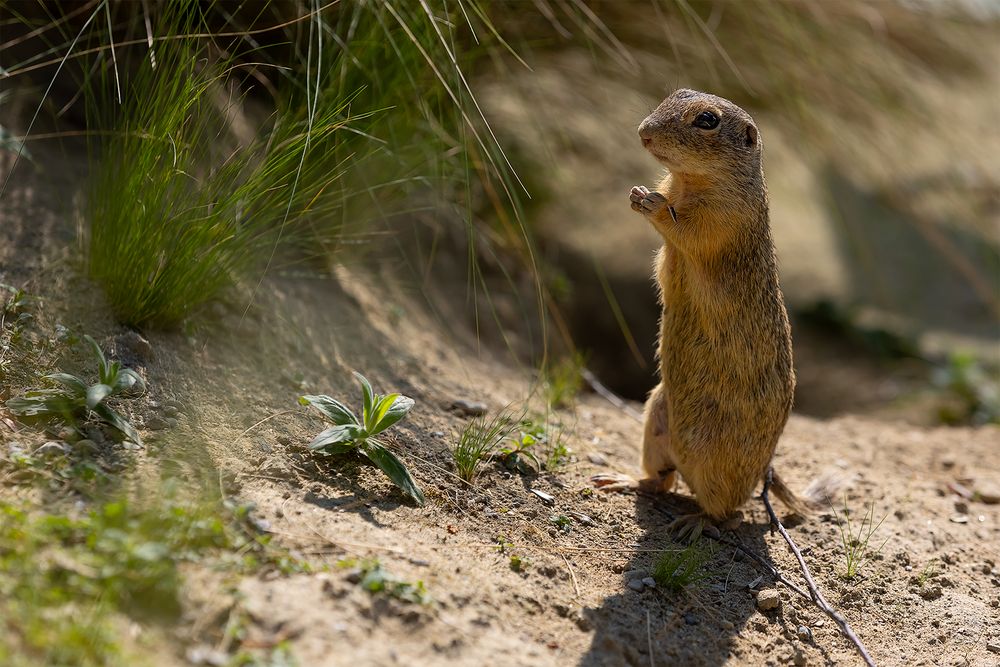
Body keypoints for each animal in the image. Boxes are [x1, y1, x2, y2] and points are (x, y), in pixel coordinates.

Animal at [592, 88, 820, 536]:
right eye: (675, 93)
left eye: (707, 121)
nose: (643, 132)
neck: (687, 182)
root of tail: (764, 470)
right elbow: (664, 267)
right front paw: (638, 193)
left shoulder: (721, 220)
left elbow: (686, 231)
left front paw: (650, 201)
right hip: (655, 419)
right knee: (661, 481)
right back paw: (621, 479)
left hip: (715, 464)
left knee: (728, 512)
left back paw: (694, 523)